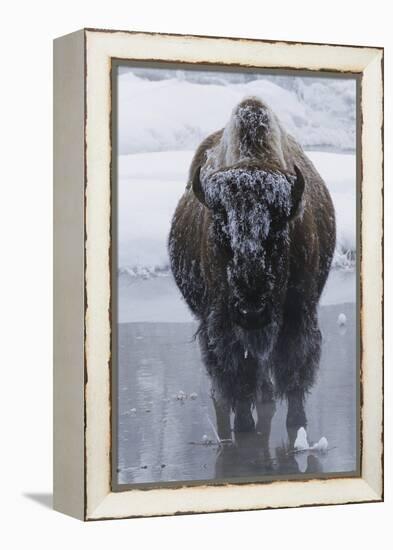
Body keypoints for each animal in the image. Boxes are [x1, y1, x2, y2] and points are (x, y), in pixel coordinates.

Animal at [167, 95, 336, 440]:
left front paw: (297, 425)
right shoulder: (221, 322)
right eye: (221, 227)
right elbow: (238, 375)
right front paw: (244, 427)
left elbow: (293, 371)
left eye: (278, 228)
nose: (252, 311)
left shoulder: (298, 314)